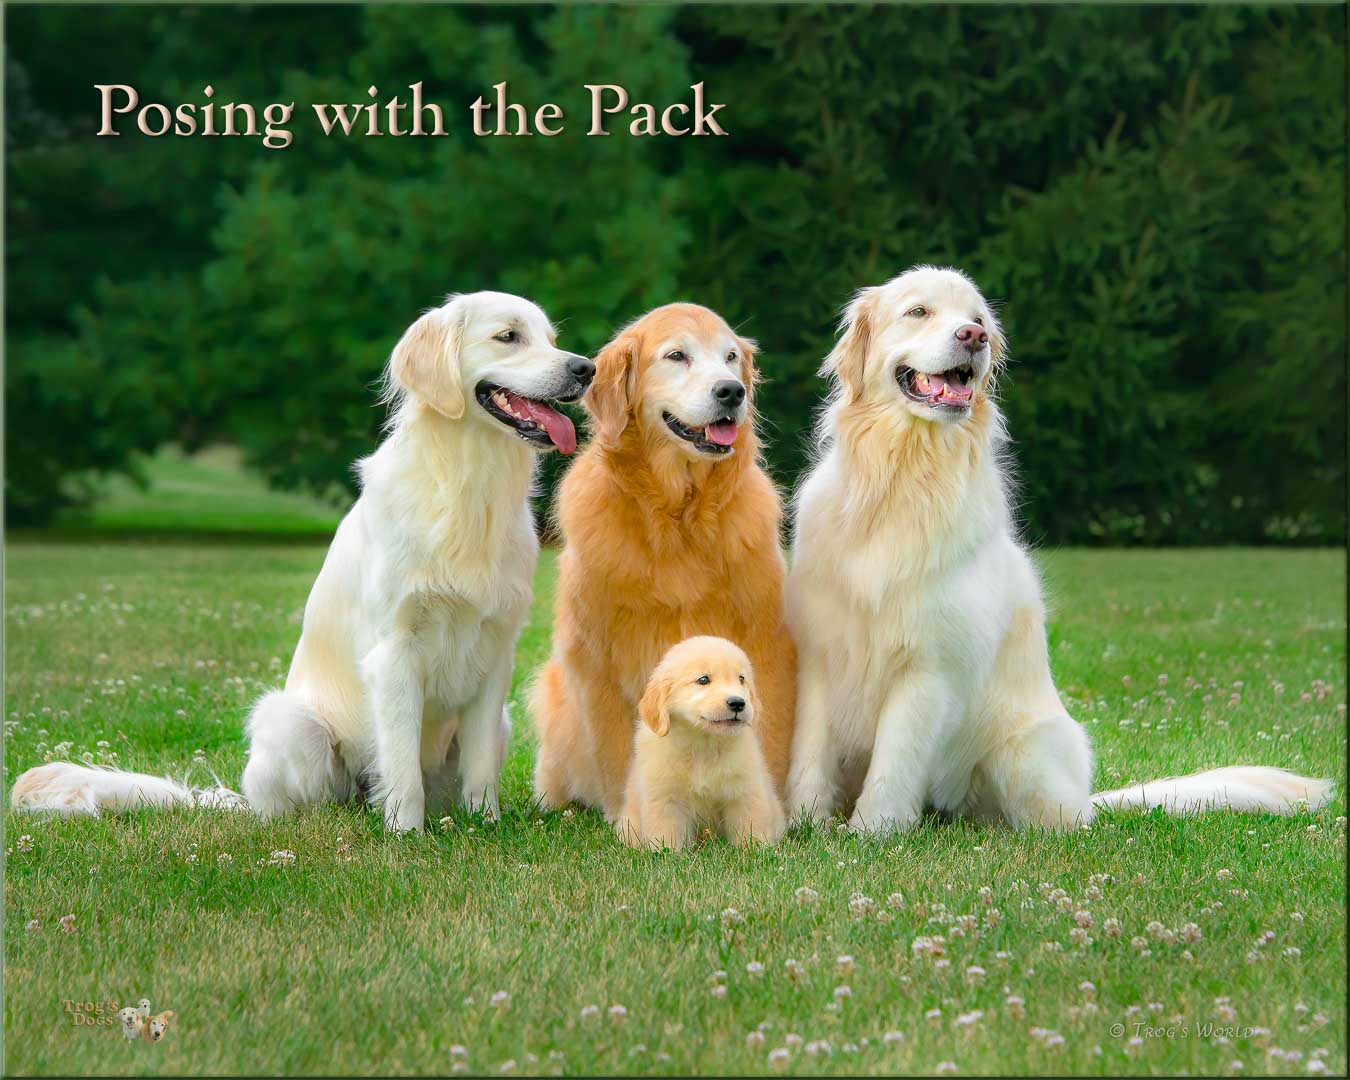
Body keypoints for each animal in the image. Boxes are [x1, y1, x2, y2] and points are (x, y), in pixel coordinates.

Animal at [526, 303, 793, 820]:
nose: (732, 391)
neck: (677, 514)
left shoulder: (765, 640)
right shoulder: (597, 659)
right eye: (676, 356)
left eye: (731, 357)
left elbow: (768, 737)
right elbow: (615, 751)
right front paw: (624, 818)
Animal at [618, 637, 788, 847]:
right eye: (703, 680)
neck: (703, 744)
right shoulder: (665, 798)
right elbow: (666, 834)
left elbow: (751, 827)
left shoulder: (744, 792)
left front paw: (754, 849)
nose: (738, 703)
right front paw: (665, 852)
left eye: (741, 679)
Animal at [788, 265, 1333, 831]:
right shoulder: (819, 656)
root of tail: (1087, 798)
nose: (974, 337)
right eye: (918, 311)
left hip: (1022, 754)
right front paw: (804, 825)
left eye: (978, 318)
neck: (904, 478)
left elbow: (893, 767)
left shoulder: (927, 668)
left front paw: (871, 833)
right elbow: (810, 754)